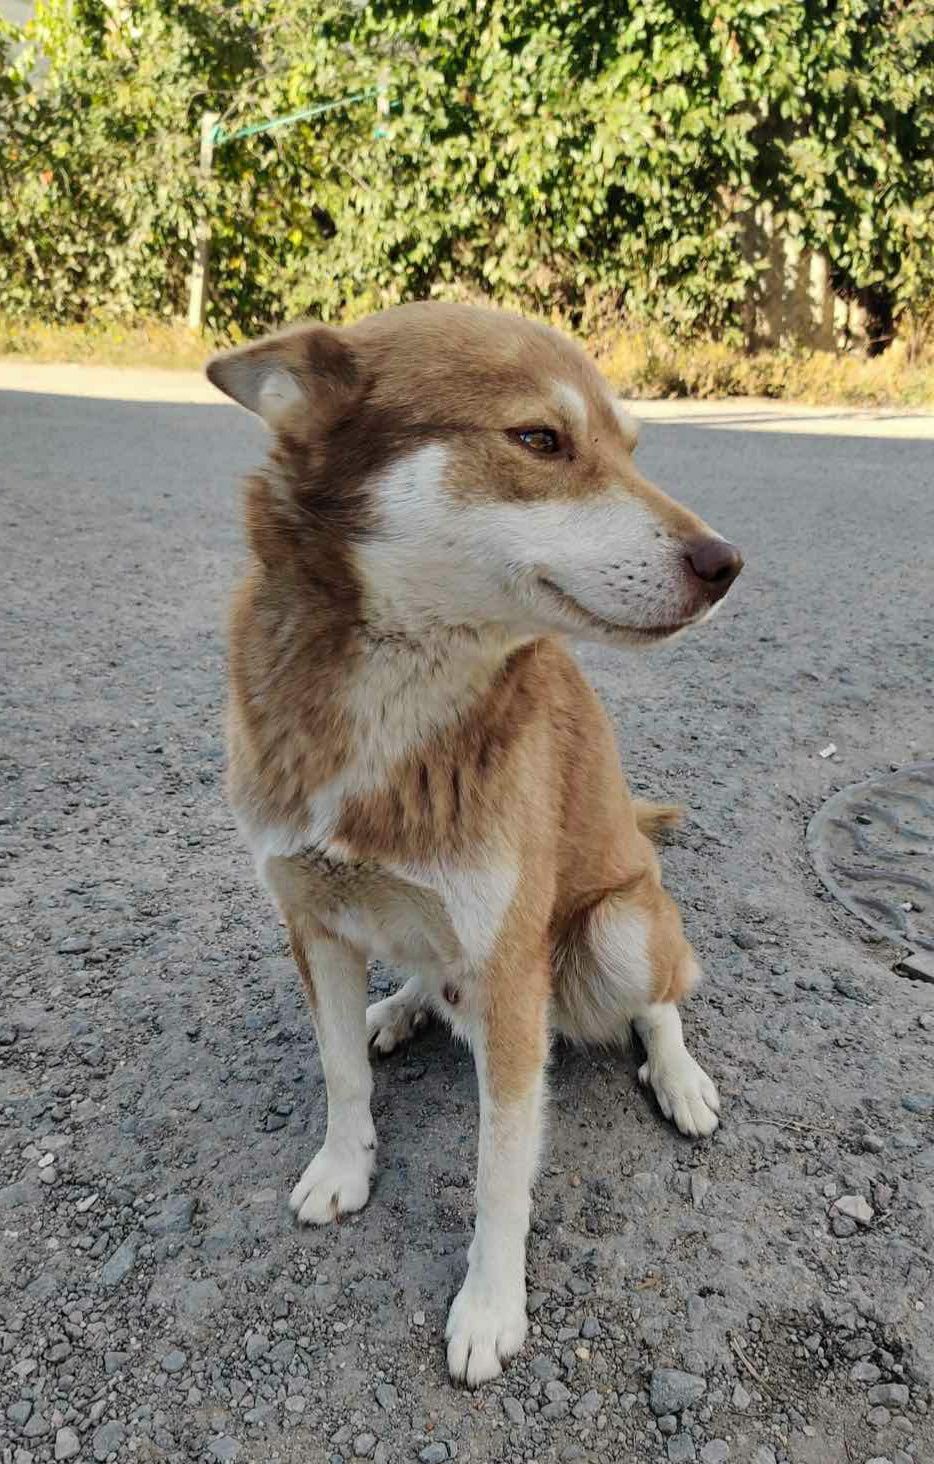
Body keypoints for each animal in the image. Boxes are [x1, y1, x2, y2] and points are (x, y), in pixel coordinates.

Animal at [206, 300, 746, 1382]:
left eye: (630, 450)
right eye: (540, 440)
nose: (724, 564)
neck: (394, 693)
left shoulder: (509, 978)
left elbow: (502, 1172)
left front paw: (490, 1308)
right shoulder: (312, 922)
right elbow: (339, 1072)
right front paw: (344, 1165)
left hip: (618, 926)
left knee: (664, 995)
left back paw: (679, 1076)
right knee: (424, 979)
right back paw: (402, 1008)